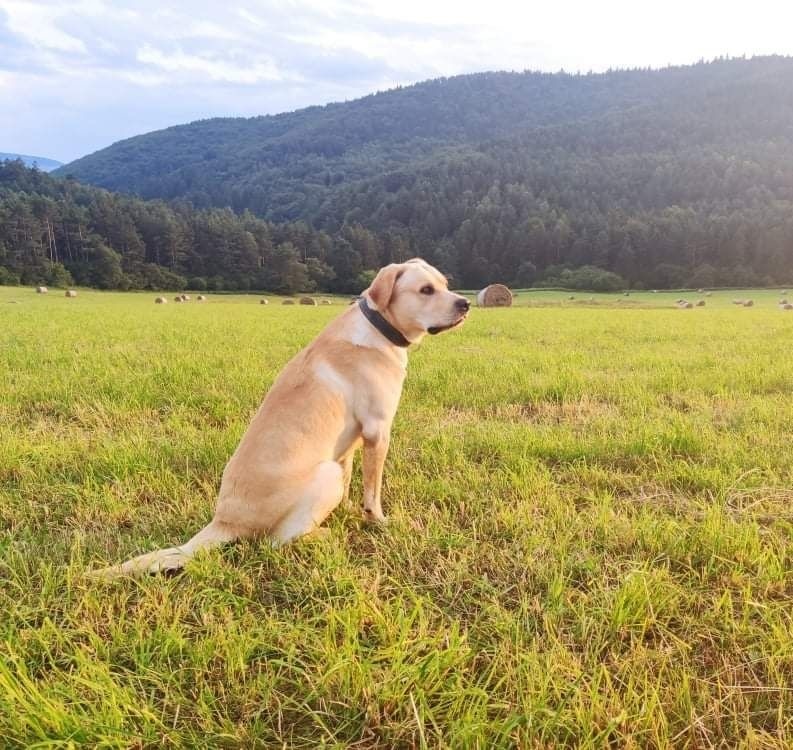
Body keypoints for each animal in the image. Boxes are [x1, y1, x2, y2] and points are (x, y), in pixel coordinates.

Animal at [89, 260, 468, 580]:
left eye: (445, 284)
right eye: (426, 290)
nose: (465, 303)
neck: (379, 327)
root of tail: (224, 521)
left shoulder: (351, 442)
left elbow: (351, 485)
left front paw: (349, 511)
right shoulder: (378, 430)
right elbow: (372, 493)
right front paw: (378, 522)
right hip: (323, 474)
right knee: (276, 543)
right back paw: (323, 535)